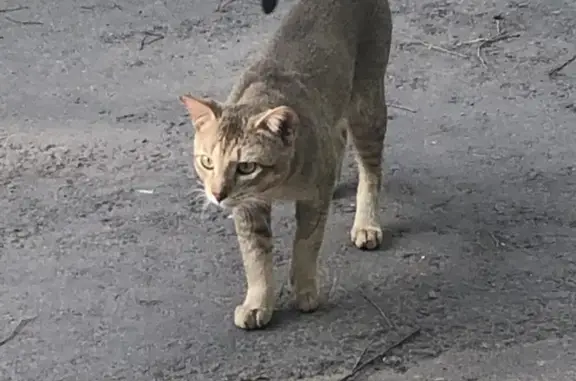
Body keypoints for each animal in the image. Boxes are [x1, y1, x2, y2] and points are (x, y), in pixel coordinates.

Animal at [182, 0, 394, 328]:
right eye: (206, 162)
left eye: (246, 167)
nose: (217, 195)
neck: (276, 185)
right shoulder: (248, 208)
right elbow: (255, 257)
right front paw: (258, 303)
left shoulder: (311, 200)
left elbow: (306, 244)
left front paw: (305, 291)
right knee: (339, 139)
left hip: (366, 105)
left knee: (371, 169)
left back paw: (366, 223)